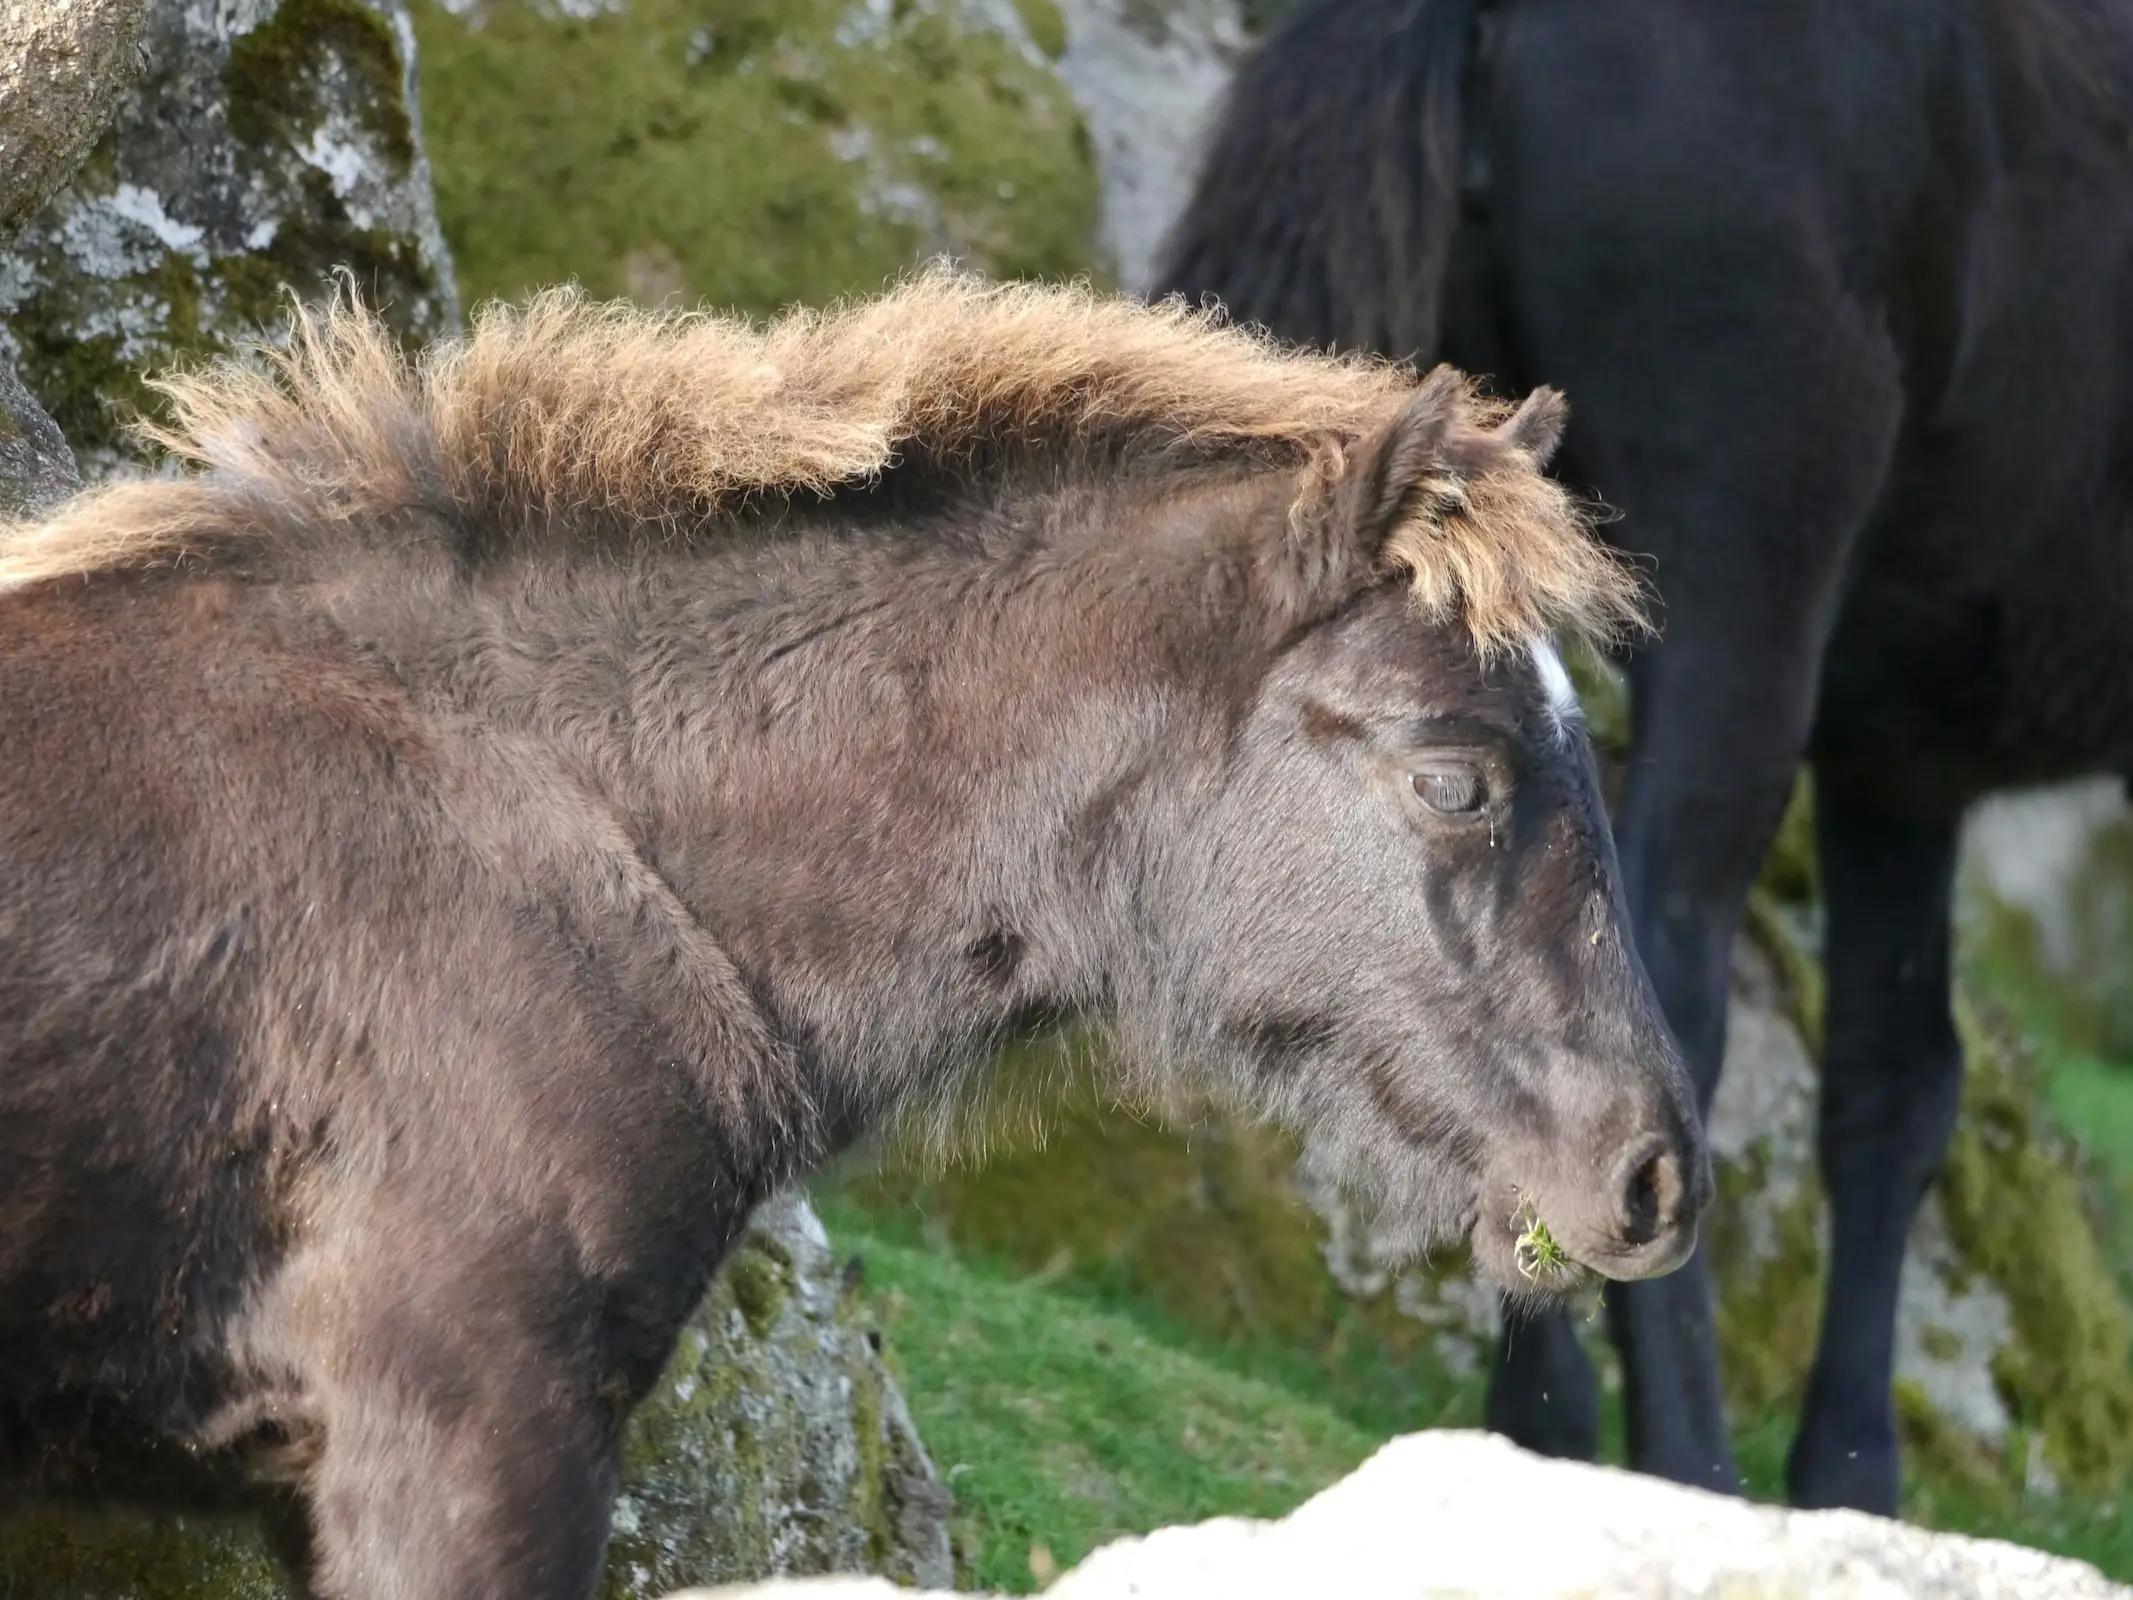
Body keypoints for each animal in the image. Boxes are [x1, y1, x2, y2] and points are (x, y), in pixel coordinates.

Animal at [1160, 0, 2133, 1518]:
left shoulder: (1899, 767)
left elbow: (1896, 1082)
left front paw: (1852, 1469)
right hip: (1749, 555)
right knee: (1656, 960)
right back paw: (1670, 1455)